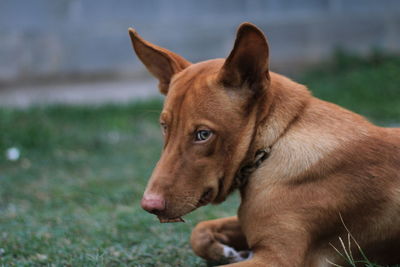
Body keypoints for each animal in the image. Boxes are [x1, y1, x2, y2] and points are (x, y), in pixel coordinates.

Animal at [128, 22, 400, 266]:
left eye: (203, 134)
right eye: (164, 127)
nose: (149, 205)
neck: (273, 145)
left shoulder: (277, 258)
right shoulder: (247, 222)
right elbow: (200, 231)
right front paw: (225, 252)